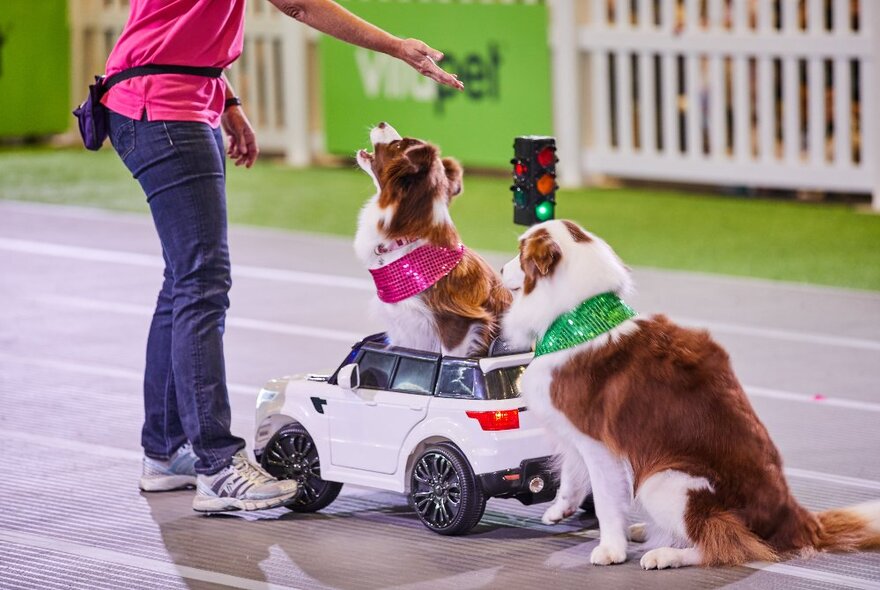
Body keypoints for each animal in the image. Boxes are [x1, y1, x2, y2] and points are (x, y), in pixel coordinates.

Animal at [354, 122, 512, 358]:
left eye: (397, 145)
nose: (382, 123)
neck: (406, 239)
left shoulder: (457, 323)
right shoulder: (401, 327)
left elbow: (447, 357)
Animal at [498, 221, 876, 568]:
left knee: (726, 542)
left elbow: (605, 500)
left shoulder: (598, 443)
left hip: (665, 481)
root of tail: (797, 520)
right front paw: (561, 509)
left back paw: (666, 554)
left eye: (520, 252)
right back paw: (647, 532)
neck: (578, 316)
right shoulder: (573, 430)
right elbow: (573, 474)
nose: (500, 269)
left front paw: (611, 549)